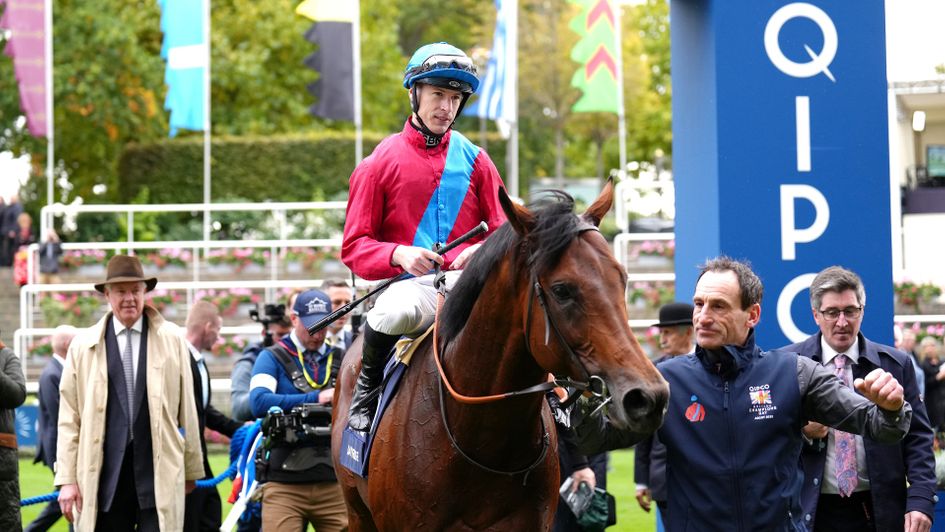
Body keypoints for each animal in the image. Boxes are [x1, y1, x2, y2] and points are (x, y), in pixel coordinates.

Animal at [328, 181, 668, 528]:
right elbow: (357, 241)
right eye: (562, 290)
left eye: (622, 278)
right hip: (357, 511)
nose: (647, 396)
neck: (482, 439)